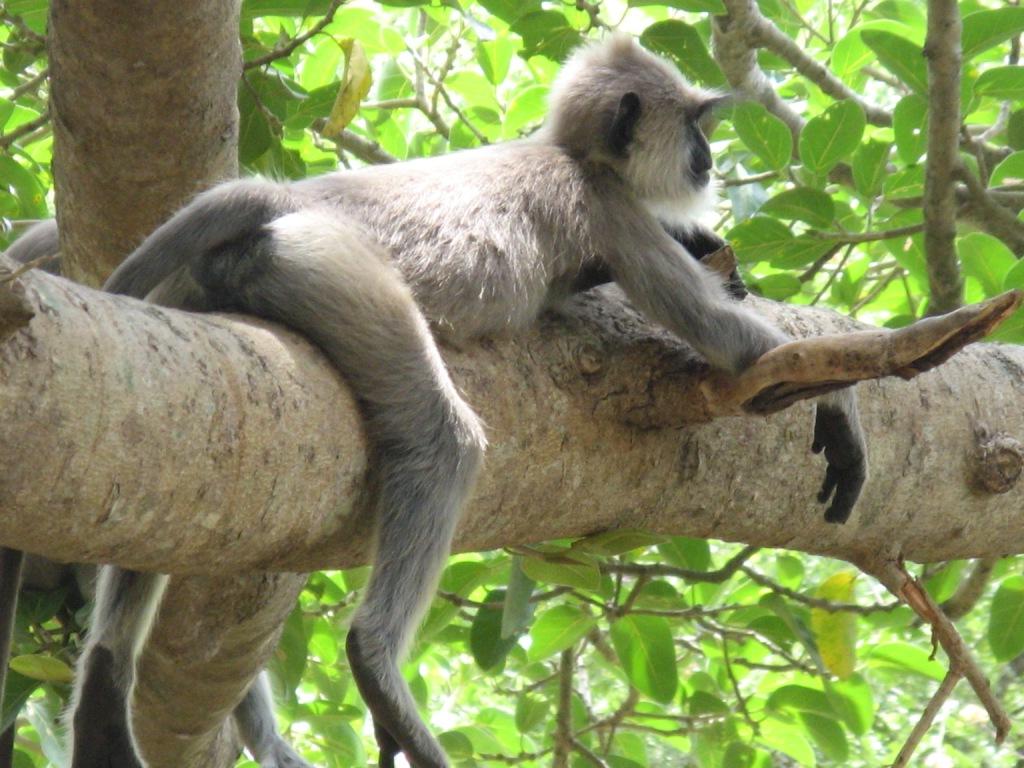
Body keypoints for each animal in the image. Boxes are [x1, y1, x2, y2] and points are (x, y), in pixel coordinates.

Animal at [6, 36, 872, 768]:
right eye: (694, 127)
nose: (708, 157)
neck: (565, 152)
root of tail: (287, 207)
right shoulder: (608, 208)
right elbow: (719, 334)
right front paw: (830, 403)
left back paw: (107, 677)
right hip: (334, 269)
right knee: (442, 438)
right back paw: (374, 659)